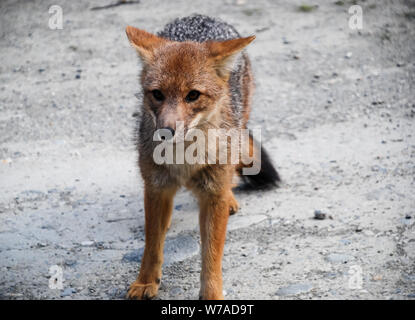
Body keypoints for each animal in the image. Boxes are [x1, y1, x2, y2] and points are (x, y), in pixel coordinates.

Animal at [123, 14, 280, 300]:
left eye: (193, 95)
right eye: (157, 94)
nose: (166, 131)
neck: (184, 159)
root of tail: (201, 17)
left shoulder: (212, 196)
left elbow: (211, 255)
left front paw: (211, 295)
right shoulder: (155, 187)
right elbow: (152, 245)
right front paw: (145, 281)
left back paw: (231, 198)